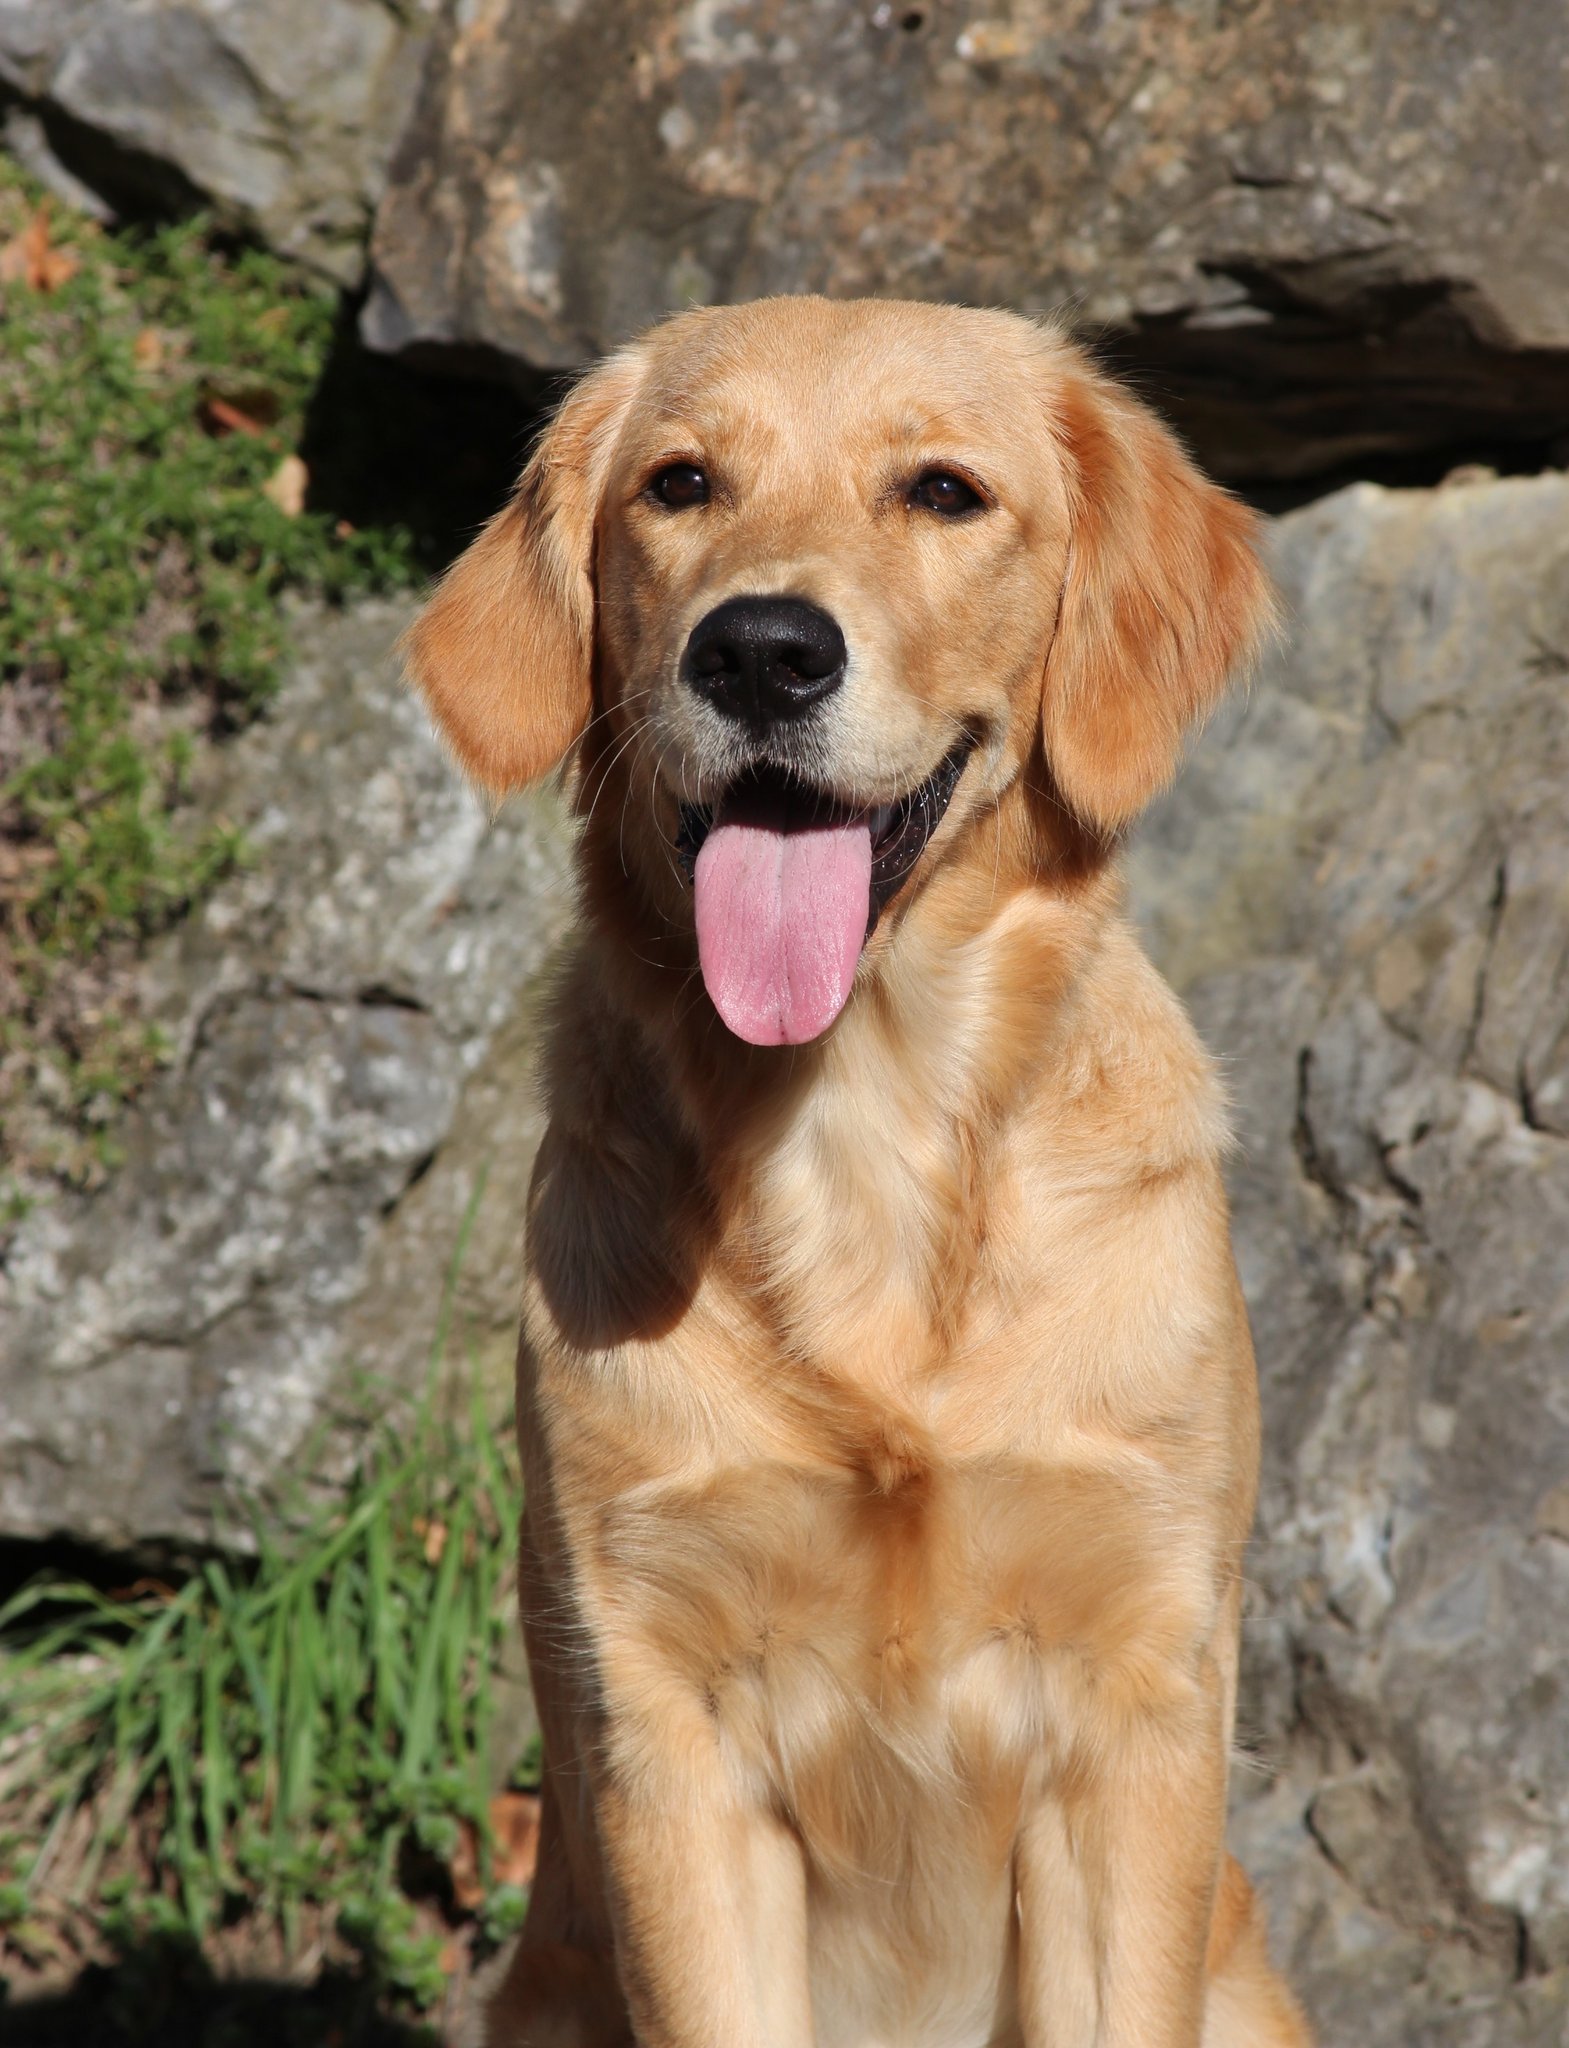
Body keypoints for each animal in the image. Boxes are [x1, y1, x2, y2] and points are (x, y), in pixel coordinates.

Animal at [407, 296, 1310, 2048]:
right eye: (680, 484)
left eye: (942, 492)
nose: (761, 649)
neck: (860, 1130)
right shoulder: (667, 1722)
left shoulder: (1135, 1695)